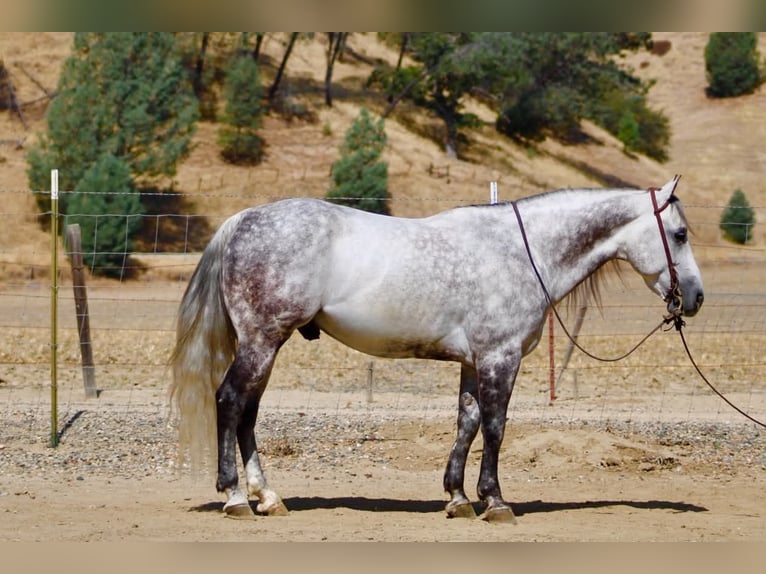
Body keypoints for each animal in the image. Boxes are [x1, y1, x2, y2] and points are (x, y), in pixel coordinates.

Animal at [170, 176, 704, 523]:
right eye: (679, 234)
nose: (695, 298)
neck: (521, 250)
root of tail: (245, 219)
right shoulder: (499, 358)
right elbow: (495, 427)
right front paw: (495, 501)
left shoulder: (473, 363)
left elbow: (466, 423)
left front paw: (458, 498)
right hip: (262, 342)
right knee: (230, 402)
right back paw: (236, 498)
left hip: (264, 346)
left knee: (248, 413)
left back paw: (267, 496)